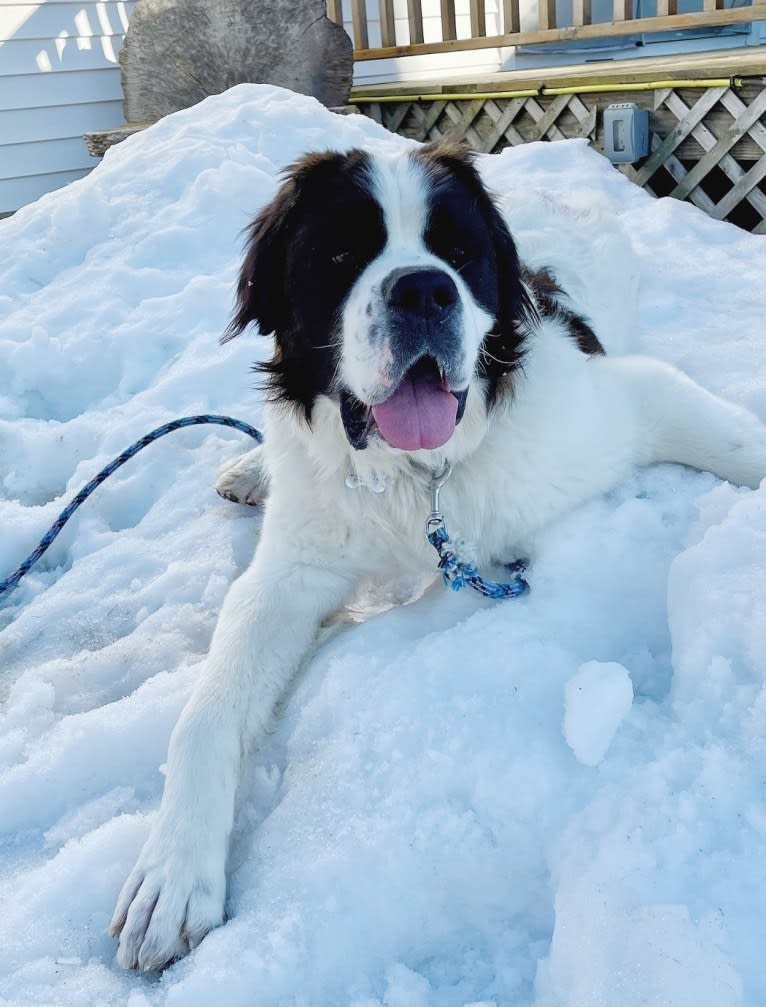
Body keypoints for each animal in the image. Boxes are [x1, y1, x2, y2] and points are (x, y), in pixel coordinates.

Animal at [109, 139, 764, 966]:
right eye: (341, 252)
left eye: (459, 252)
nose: (424, 290)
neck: (416, 479)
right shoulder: (290, 570)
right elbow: (205, 715)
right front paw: (169, 872)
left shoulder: (622, 403)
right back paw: (251, 468)